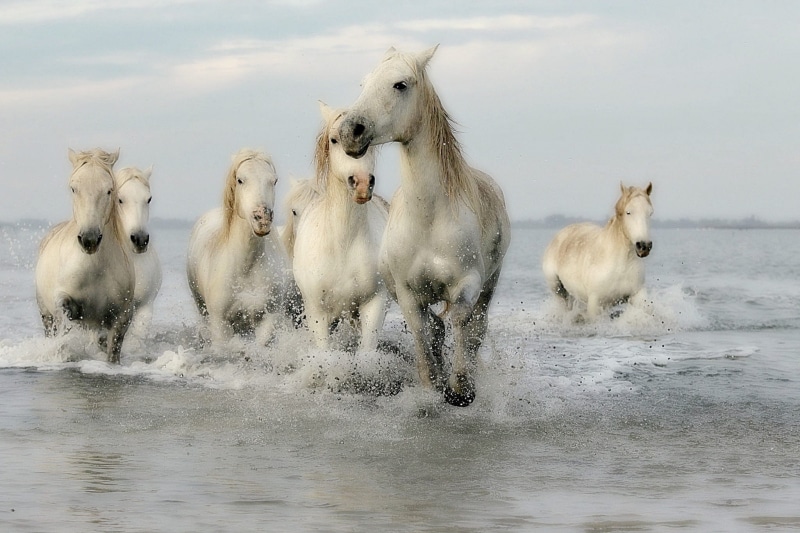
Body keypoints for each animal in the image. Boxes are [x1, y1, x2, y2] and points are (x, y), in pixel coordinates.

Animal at [35, 148, 135, 363]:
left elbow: (112, 352)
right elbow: (65, 315)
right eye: (74, 189)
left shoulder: (121, 318)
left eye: (109, 190)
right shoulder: (62, 302)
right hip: (46, 316)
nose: (89, 239)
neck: (94, 268)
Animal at [186, 149, 292, 344]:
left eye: (274, 180)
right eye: (240, 180)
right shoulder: (220, 325)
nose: (262, 219)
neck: (246, 267)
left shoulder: (267, 319)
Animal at [292, 101, 391, 352]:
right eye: (335, 139)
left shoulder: (373, 305)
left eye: (370, 140)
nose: (362, 183)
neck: (343, 243)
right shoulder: (317, 312)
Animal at [338, 46, 511, 406]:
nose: (350, 131)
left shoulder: (469, 282)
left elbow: (461, 320)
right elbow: (422, 329)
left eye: (400, 84)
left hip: (490, 283)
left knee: (476, 328)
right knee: (436, 327)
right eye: (364, 82)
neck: (428, 219)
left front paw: (460, 388)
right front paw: (433, 385)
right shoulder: (406, 292)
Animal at [542, 182, 654, 320]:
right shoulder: (596, 303)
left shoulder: (637, 294)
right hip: (558, 290)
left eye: (650, 213)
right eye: (628, 212)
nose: (644, 246)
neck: (621, 264)